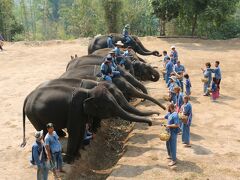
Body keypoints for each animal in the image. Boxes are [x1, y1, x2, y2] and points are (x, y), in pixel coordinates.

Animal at [21, 84, 152, 163]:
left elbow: (80, 130)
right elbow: (74, 131)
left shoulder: (80, 113)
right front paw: (68, 161)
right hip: (34, 115)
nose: (150, 124)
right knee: (42, 133)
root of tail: (27, 98)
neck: (89, 92)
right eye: (109, 107)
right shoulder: (75, 109)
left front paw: (78, 157)